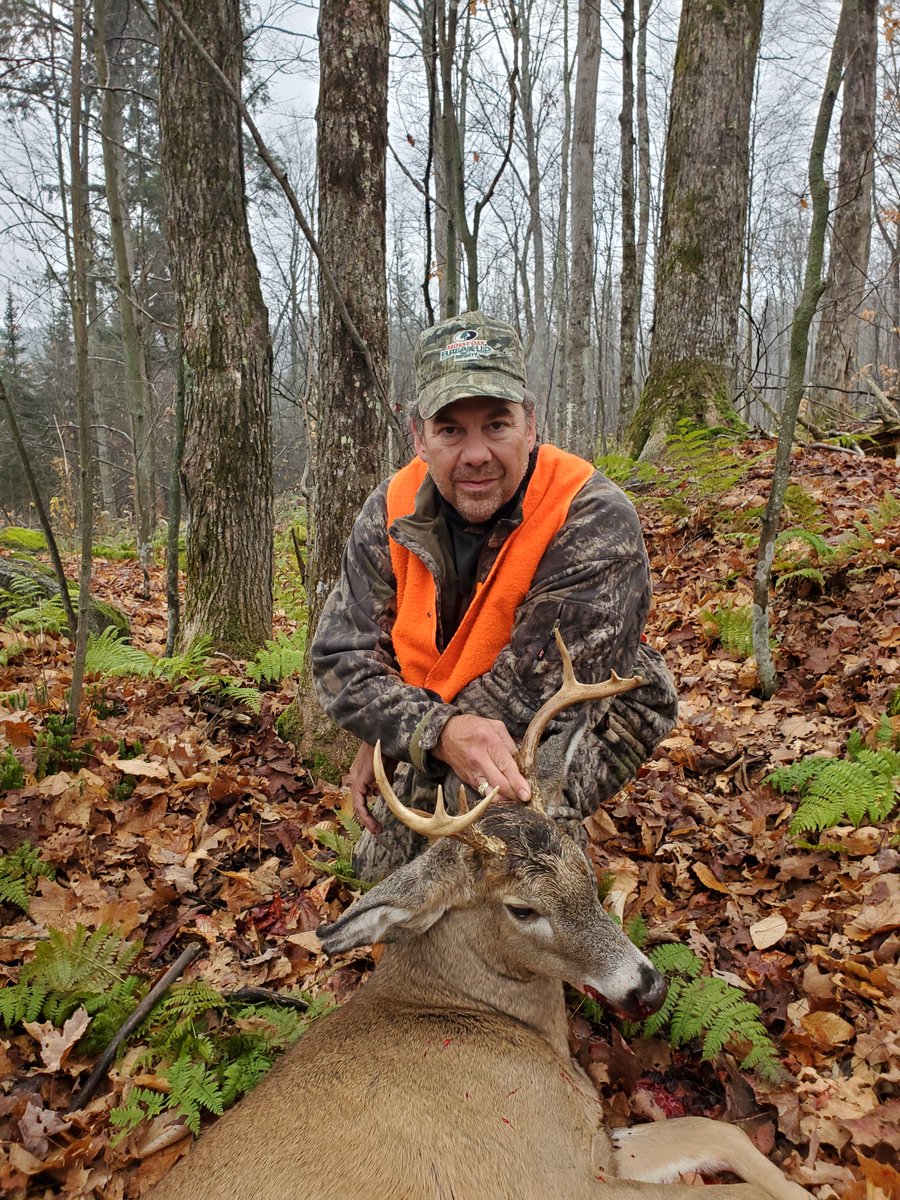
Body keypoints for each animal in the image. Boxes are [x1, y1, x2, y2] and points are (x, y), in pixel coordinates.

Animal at [149, 633, 810, 1200]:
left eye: (583, 863)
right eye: (521, 908)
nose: (648, 987)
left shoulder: (596, 1141)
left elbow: (717, 1130)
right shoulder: (549, 1175)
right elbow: (743, 1189)